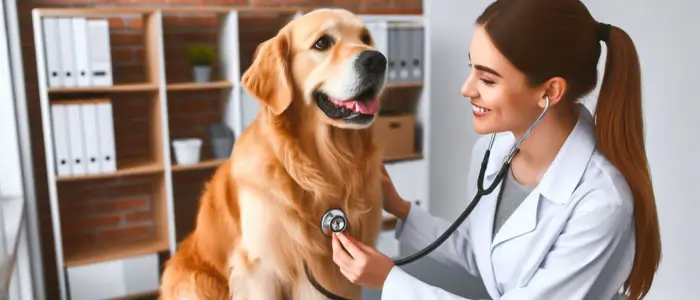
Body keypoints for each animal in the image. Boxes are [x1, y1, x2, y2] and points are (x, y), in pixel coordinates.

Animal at [159, 7, 388, 300]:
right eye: (322, 43)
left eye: (366, 38)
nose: (377, 60)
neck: (324, 165)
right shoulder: (261, 268)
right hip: (195, 282)